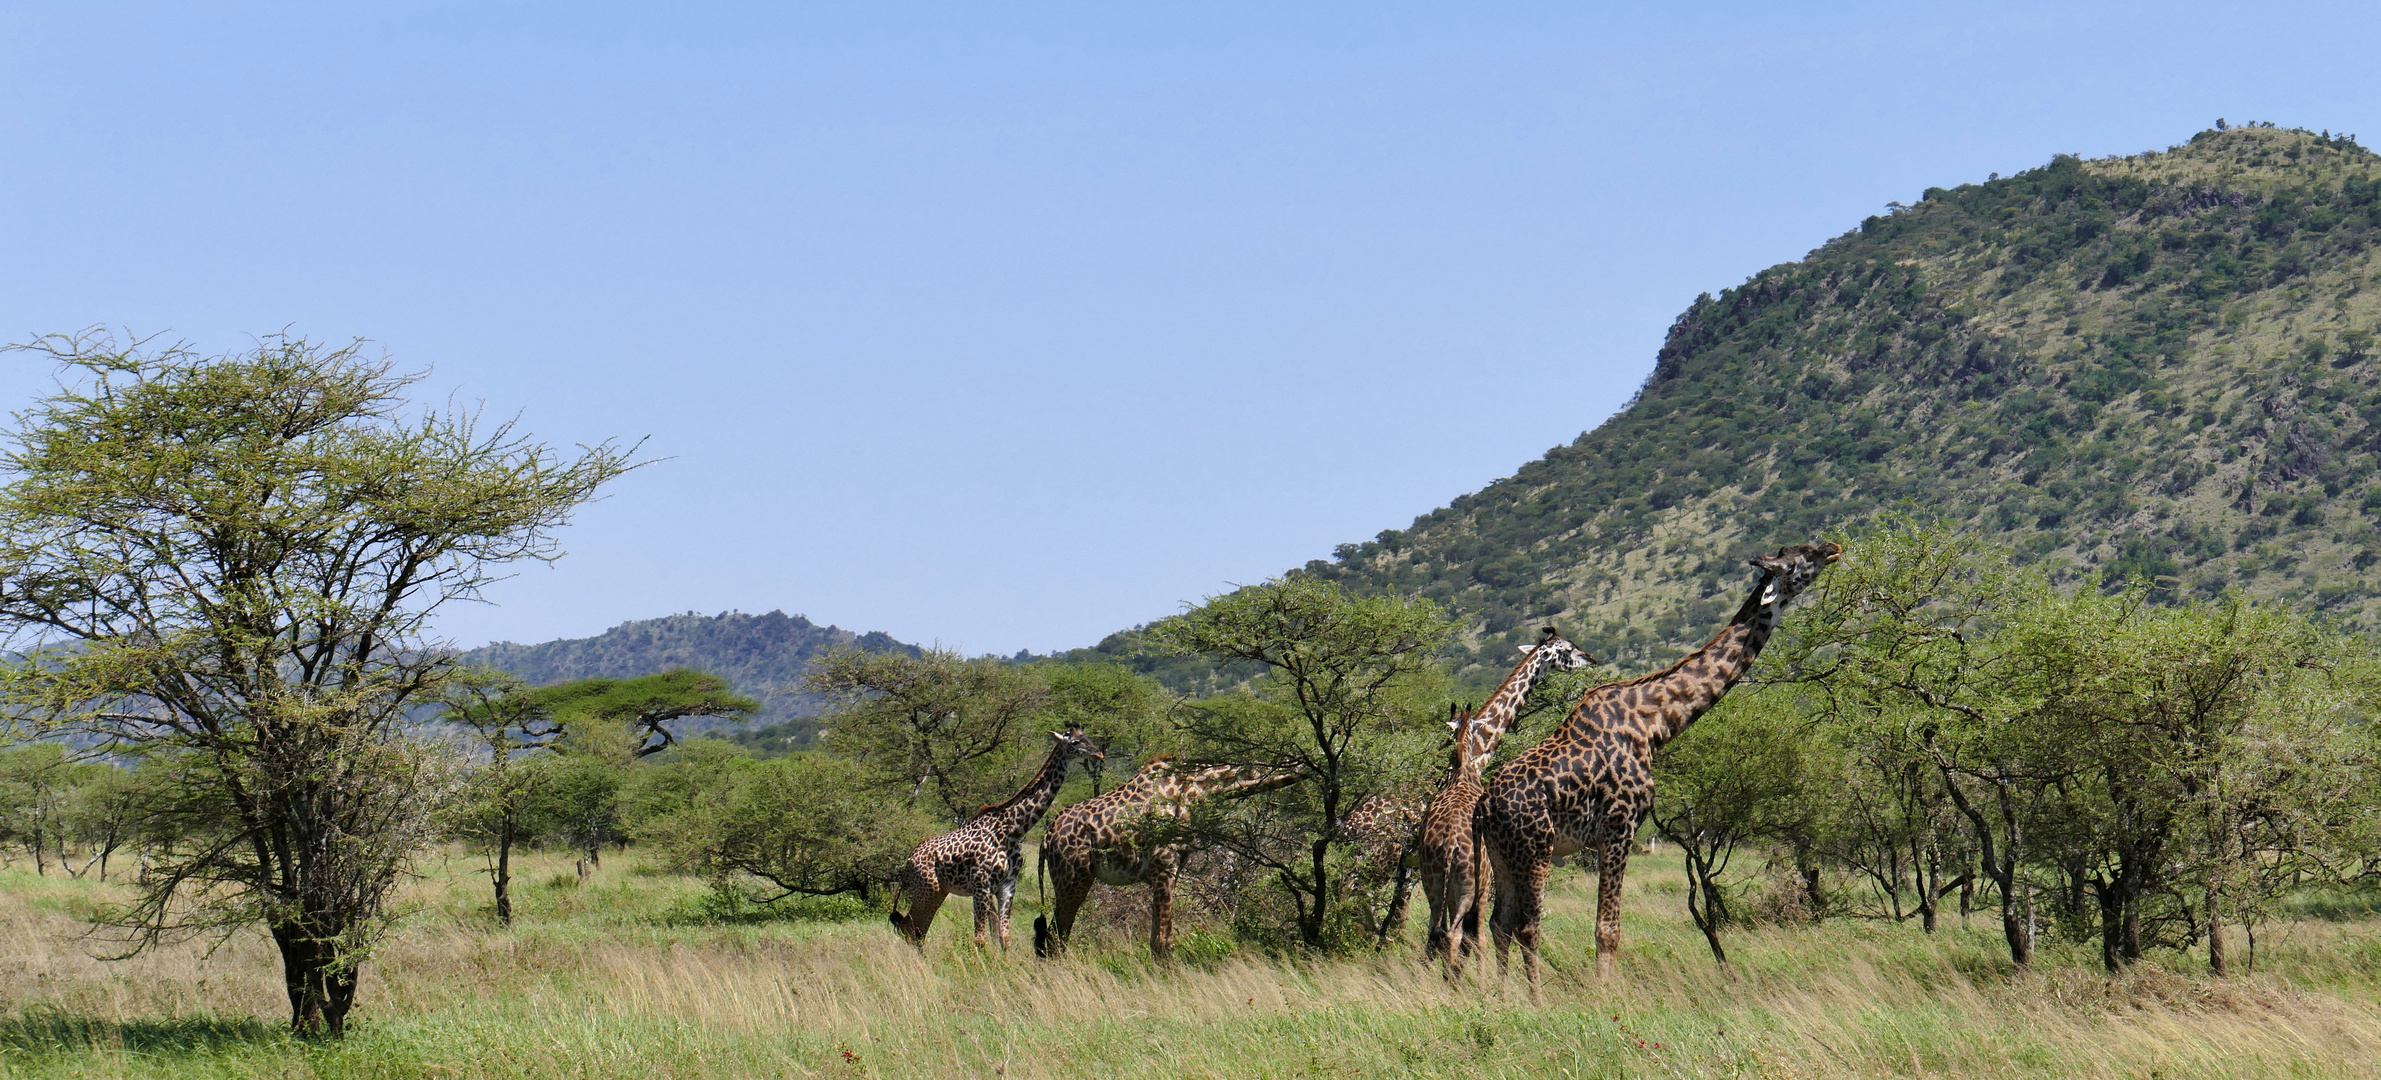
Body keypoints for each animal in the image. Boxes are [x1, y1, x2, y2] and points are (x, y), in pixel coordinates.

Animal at [890, 727, 1100, 951]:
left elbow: (1004, 937)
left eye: (1088, 737)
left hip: (938, 891)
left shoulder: (1007, 885)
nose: (1098, 754)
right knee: (908, 927)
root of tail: (909, 861)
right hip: (927, 889)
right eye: (1075, 742)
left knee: (917, 931)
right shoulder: (981, 885)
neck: (1012, 831)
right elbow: (980, 938)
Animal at [1033, 756, 1314, 956]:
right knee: (1055, 938)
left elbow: (1156, 939)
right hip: (1074, 879)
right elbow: (1164, 942)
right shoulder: (1163, 866)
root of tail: (1046, 838)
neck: (1197, 789)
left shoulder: (1172, 870)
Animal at [1419, 623, 1590, 970]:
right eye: (1567, 649)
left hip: (1434, 883)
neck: (1473, 759)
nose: (1590, 658)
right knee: (1458, 936)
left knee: (1433, 935)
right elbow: (1480, 937)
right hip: (1469, 887)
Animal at [1466, 540, 1838, 984]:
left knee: (1499, 924)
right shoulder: (1618, 828)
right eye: (1798, 560)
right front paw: (1603, 994)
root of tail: (1485, 807)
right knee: (1527, 926)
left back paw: (1503, 995)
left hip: (1502, 855)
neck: (1654, 724)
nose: (1833, 548)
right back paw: (1534, 996)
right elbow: (1607, 930)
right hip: (1536, 849)